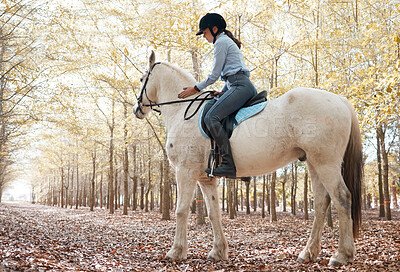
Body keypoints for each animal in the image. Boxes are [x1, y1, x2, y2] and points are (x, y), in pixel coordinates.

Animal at [134, 52, 362, 266]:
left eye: (142, 79)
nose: (137, 109)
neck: (183, 111)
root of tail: (340, 100)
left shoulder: (185, 172)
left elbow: (181, 211)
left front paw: (176, 252)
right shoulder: (206, 179)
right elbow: (213, 212)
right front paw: (218, 251)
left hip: (326, 164)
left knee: (342, 199)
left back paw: (342, 255)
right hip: (314, 164)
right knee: (322, 203)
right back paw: (308, 253)